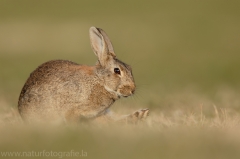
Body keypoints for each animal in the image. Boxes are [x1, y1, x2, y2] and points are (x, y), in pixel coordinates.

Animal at [17, 26, 149, 123]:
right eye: (117, 71)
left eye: (130, 68)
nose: (132, 90)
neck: (100, 81)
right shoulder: (74, 109)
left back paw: (142, 114)